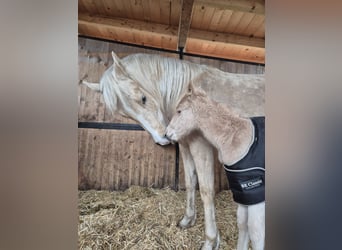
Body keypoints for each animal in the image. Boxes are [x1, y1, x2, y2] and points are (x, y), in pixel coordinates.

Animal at [165, 86, 264, 250]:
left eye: (179, 111)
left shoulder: (256, 194)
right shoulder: (243, 193)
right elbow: (243, 224)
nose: (167, 134)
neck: (238, 137)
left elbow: (256, 232)